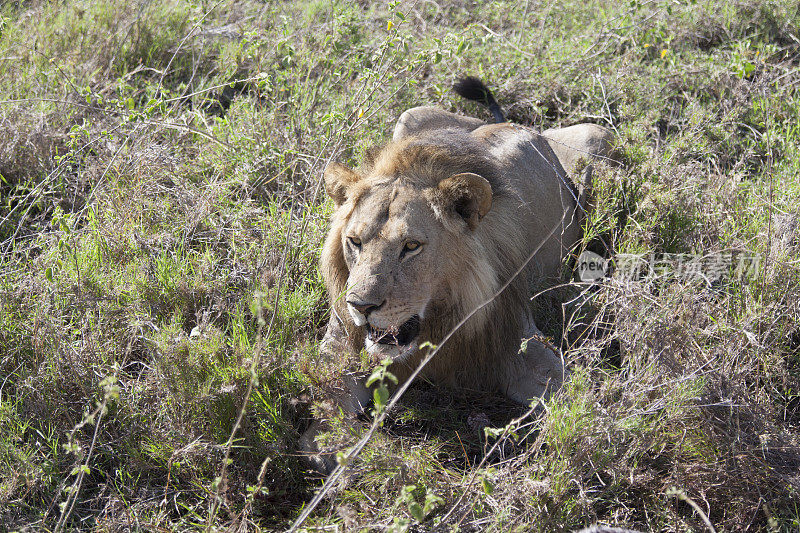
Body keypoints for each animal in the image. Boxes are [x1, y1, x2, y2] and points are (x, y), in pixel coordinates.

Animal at [316, 77, 608, 414]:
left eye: (411, 246)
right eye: (354, 241)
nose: (361, 307)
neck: (439, 318)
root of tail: (517, 124)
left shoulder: (519, 339)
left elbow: (581, 401)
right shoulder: (341, 345)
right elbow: (324, 412)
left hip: (597, 137)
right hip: (412, 115)